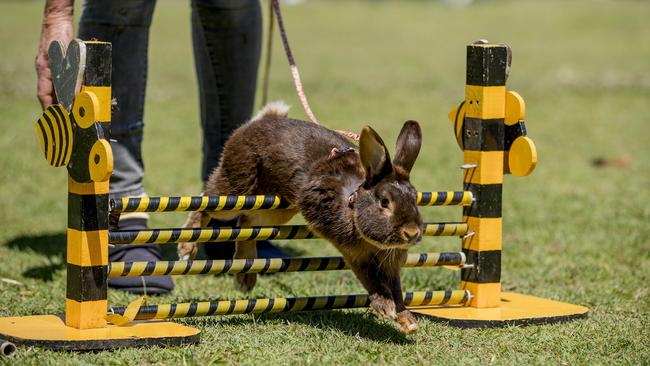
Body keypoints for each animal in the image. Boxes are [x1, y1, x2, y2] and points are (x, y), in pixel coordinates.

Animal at [177, 101, 422, 334]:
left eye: (415, 198)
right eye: (384, 202)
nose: (412, 232)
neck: (352, 201)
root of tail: (253, 125)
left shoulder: (391, 264)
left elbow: (396, 288)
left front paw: (407, 320)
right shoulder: (354, 254)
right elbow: (370, 279)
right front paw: (386, 308)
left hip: (275, 209)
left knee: (248, 224)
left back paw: (245, 278)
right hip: (236, 189)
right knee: (206, 203)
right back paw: (187, 247)